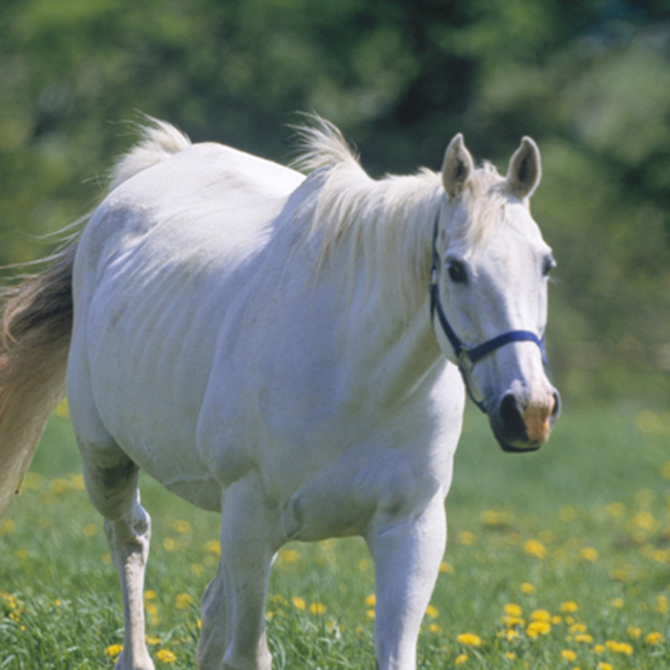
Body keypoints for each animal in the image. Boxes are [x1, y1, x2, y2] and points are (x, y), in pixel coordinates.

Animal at [0, 119, 560, 670]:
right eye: (457, 269)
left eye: (546, 264)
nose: (529, 411)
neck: (357, 379)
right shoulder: (252, 516)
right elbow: (247, 654)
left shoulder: (411, 529)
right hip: (108, 461)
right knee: (130, 537)